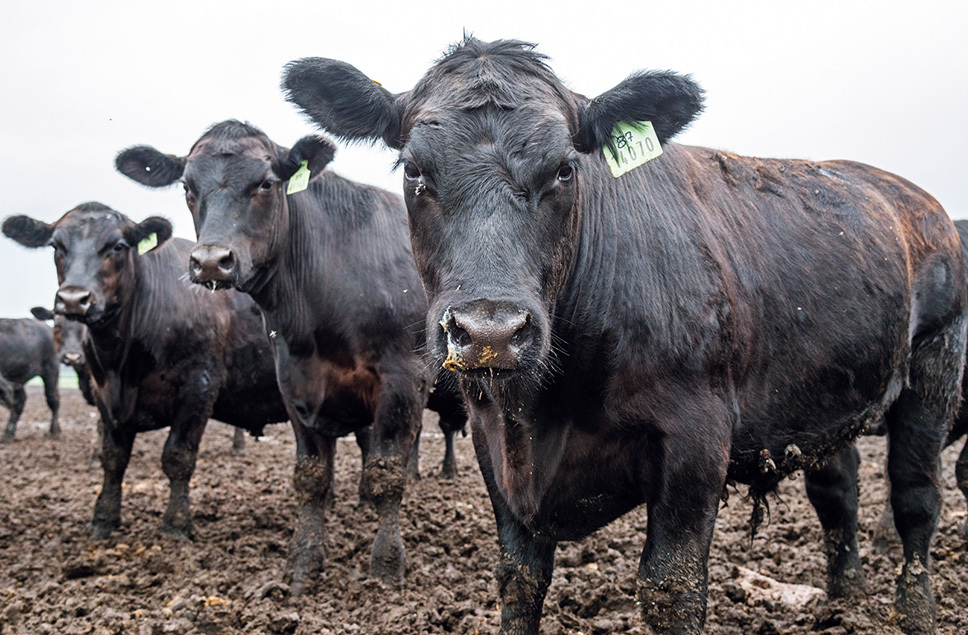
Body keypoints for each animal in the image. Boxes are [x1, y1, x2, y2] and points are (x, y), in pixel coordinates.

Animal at [1, 204, 290, 540]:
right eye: (56, 246)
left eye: (117, 246)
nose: (74, 298)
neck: (123, 365)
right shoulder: (105, 396)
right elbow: (113, 459)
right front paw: (103, 519)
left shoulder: (199, 386)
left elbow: (177, 456)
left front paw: (175, 524)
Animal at [114, 121, 468, 592]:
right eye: (187, 187)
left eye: (266, 183)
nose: (211, 261)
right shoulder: (295, 380)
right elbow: (312, 477)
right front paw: (303, 563)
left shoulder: (403, 378)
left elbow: (387, 471)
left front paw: (386, 564)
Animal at [284, 37, 964, 632]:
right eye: (414, 171)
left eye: (564, 169)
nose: (490, 331)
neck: (543, 411)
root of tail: (919, 200)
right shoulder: (491, 446)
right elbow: (518, 581)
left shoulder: (696, 442)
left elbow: (671, 589)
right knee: (837, 492)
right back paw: (845, 595)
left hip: (934, 372)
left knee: (917, 501)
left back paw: (917, 613)